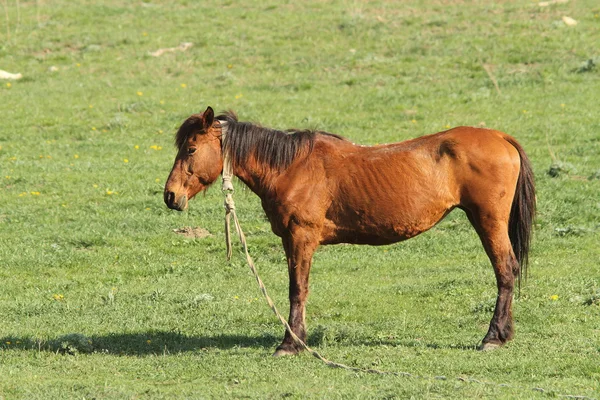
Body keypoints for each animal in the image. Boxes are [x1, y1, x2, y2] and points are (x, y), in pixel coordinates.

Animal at [164, 106, 536, 354]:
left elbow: (297, 289)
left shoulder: (301, 238)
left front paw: (291, 343)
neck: (291, 167)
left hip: (488, 220)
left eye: (191, 149)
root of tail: (500, 138)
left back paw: (493, 337)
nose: (170, 196)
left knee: (505, 271)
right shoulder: (290, 240)